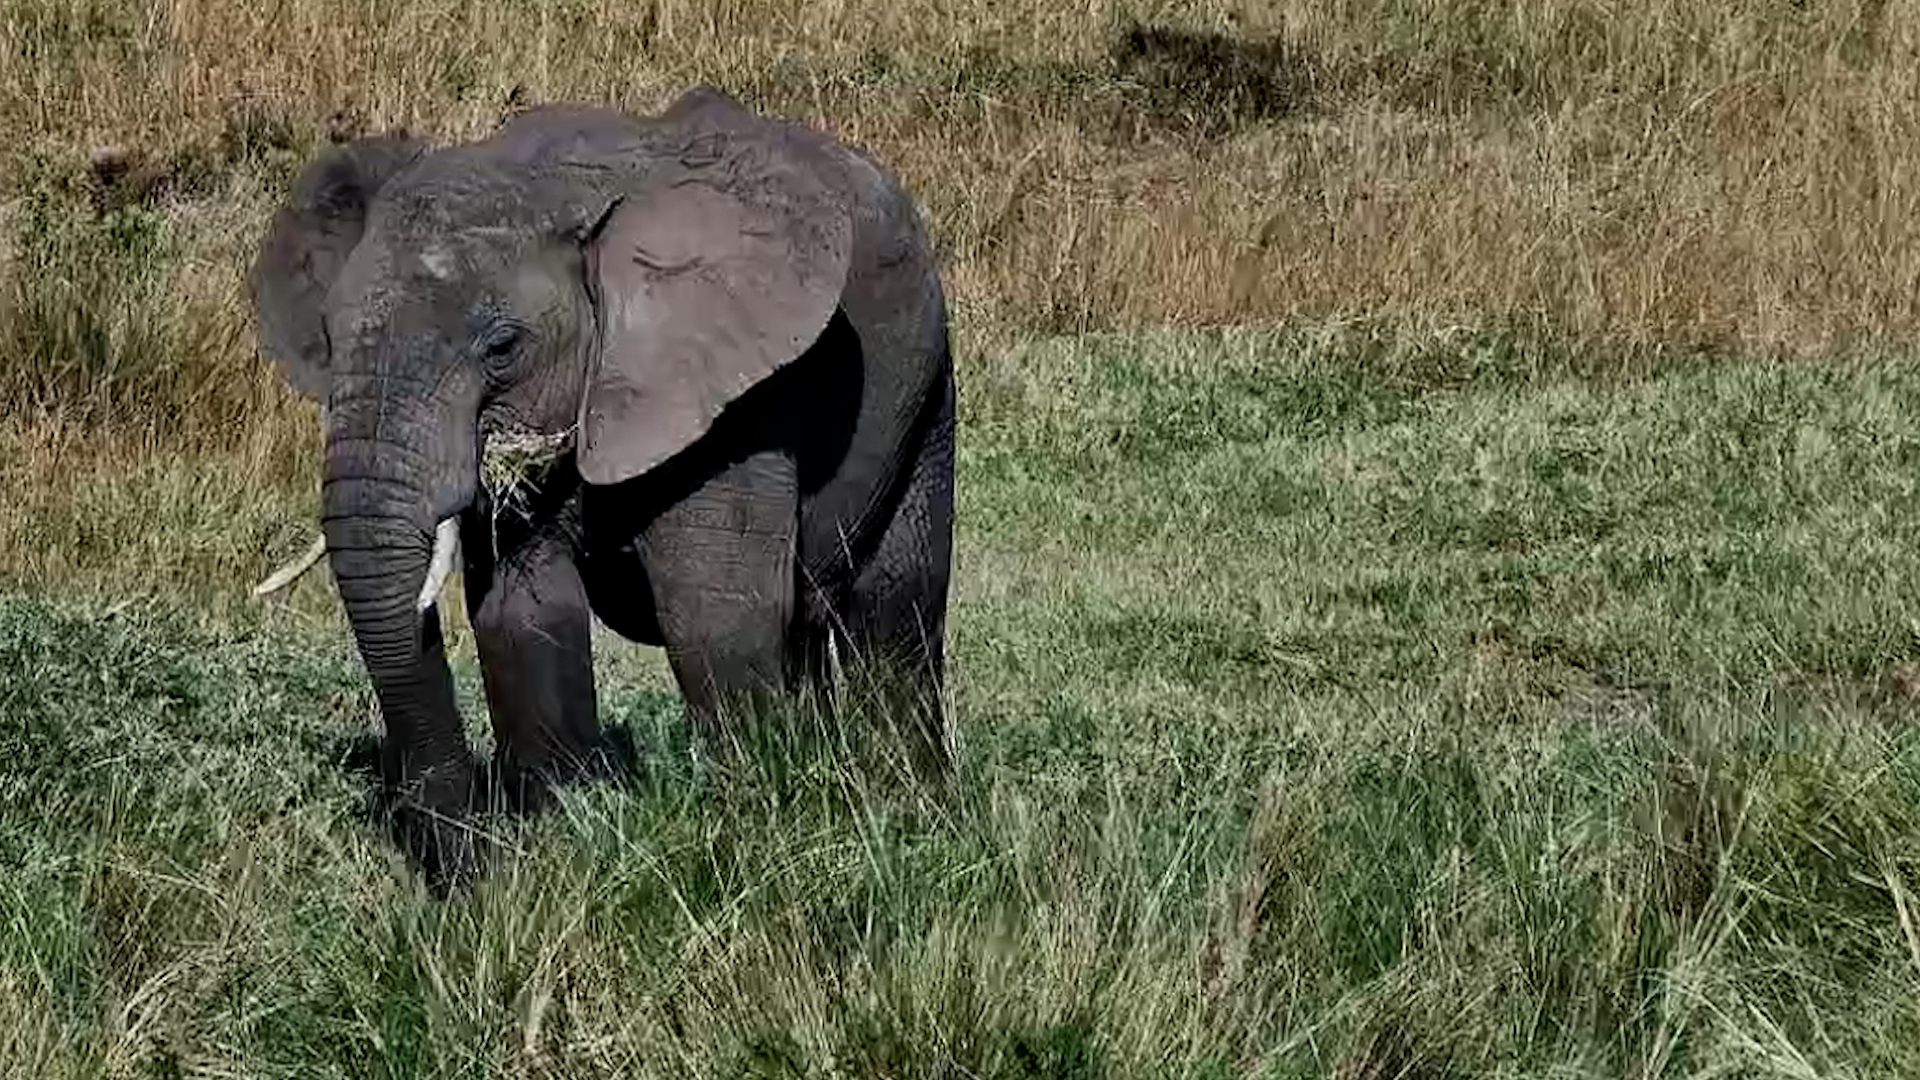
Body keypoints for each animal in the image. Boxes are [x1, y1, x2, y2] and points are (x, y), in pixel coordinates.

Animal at [248, 87, 956, 892]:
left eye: (503, 348)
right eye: (332, 338)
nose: (476, 875)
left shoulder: (736, 393)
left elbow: (714, 620)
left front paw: (760, 838)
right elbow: (523, 616)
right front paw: (570, 844)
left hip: (927, 383)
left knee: (895, 607)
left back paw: (908, 805)